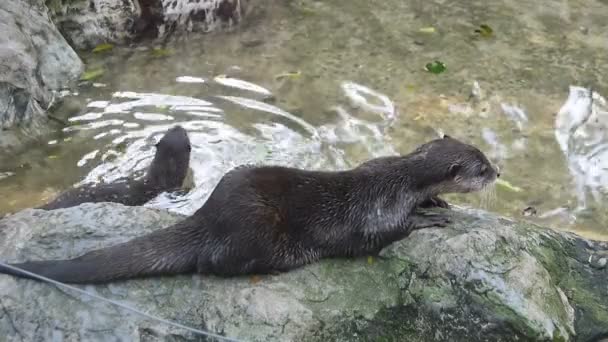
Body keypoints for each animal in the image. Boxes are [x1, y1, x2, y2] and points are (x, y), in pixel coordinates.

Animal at [0, 136, 498, 284]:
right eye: (482, 167)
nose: (499, 169)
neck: (401, 181)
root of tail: (208, 217)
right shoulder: (375, 209)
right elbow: (377, 236)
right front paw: (428, 216)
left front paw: (437, 200)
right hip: (256, 227)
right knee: (214, 263)